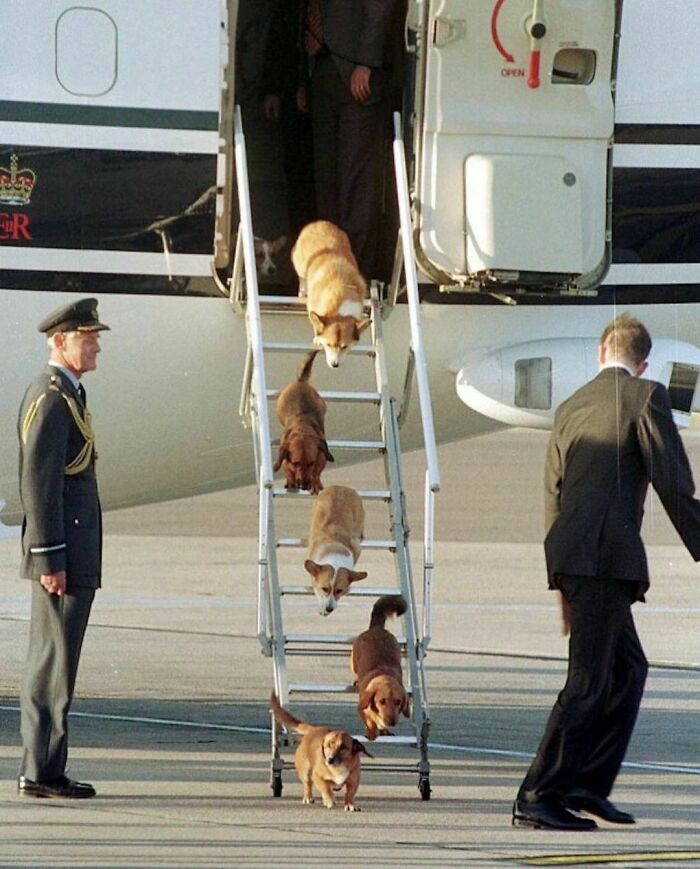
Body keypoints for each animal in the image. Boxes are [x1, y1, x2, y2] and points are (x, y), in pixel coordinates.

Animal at [274, 348, 334, 496]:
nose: (304, 485)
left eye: (311, 462)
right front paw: (291, 482)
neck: (302, 429)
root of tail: (300, 381)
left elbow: (317, 473)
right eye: (296, 463)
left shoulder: (321, 458)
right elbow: (288, 471)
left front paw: (315, 484)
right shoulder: (285, 460)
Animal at [350, 596, 410, 740]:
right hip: (353, 662)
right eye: (382, 701)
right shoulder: (361, 708)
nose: (391, 722)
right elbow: (370, 722)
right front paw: (372, 732)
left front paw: (384, 730)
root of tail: (376, 628)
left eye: (398, 702)